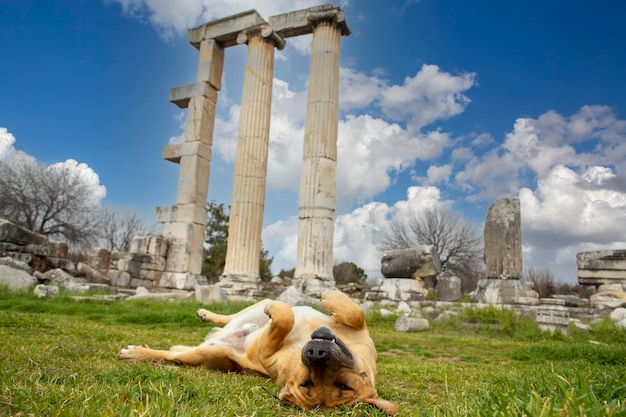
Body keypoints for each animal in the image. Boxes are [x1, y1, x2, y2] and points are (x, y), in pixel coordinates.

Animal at [118, 290, 394, 412]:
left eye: (343, 386)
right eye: (306, 384)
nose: (317, 354)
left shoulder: (267, 353)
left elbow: (284, 320)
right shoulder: (360, 333)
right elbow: (356, 314)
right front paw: (331, 297)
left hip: (201, 356)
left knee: (171, 355)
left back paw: (137, 353)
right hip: (249, 311)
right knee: (234, 316)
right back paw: (207, 314)